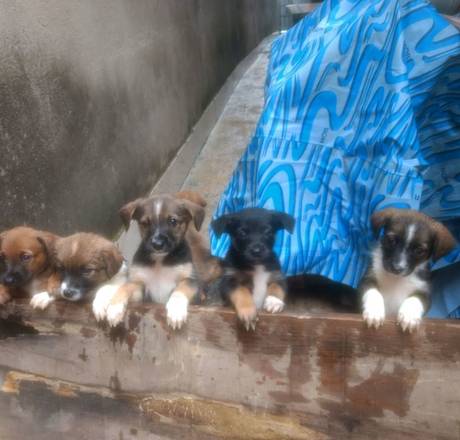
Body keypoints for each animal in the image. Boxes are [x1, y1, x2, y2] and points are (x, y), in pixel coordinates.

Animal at [93, 191, 211, 329]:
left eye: (173, 221)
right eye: (145, 223)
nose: (157, 244)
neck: (160, 261)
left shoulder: (189, 280)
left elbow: (180, 291)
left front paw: (175, 311)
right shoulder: (141, 289)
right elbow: (125, 287)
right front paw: (114, 308)